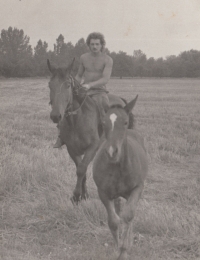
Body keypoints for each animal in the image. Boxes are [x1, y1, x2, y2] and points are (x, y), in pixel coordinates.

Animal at [47, 59, 134, 205]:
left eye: (68, 85)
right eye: (49, 85)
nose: (55, 116)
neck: (76, 120)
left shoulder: (92, 147)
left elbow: (81, 169)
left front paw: (76, 196)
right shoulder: (72, 149)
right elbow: (81, 169)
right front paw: (84, 195)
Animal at [93, 96, 148, 260]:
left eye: (124, 122)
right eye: (104, 123)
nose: (112, 152)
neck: (118, 167)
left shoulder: (137, 188)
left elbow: (129, 215)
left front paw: (124, 250)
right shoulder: (103, 192)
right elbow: (113, 221)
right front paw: (116, 247)